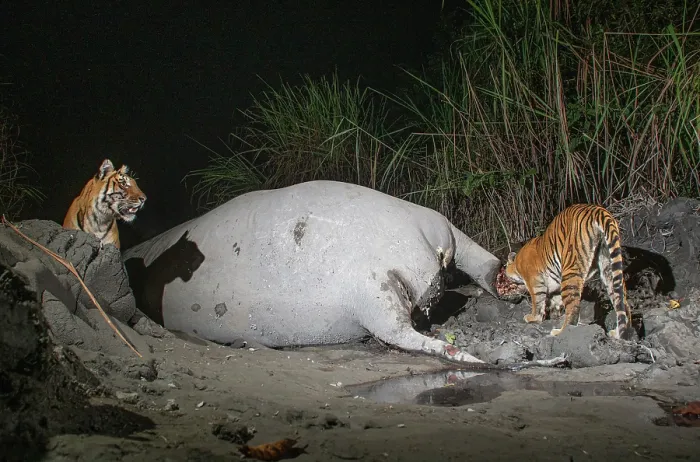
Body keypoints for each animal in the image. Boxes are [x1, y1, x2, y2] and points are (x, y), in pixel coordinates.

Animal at [504, 203, 633, 340]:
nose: (505, 277)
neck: (517, 263)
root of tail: (598, 210)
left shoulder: (535, 281)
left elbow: (537, 301)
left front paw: (533, 318)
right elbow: (555, 300)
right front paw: (554, 314)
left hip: (570, 268)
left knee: (573, 309)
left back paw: (561, 333)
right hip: (609, 267)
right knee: (622, 303)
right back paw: (620, 333)